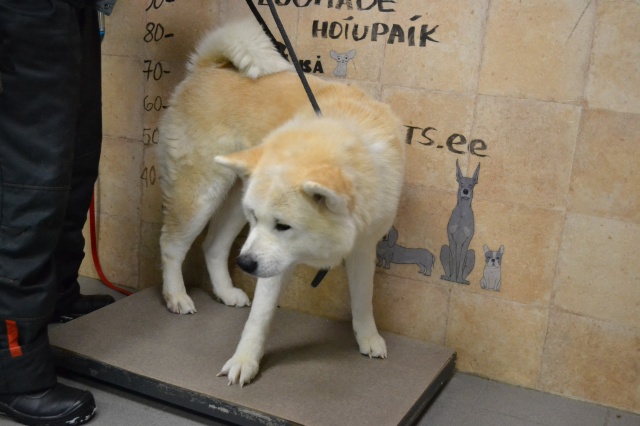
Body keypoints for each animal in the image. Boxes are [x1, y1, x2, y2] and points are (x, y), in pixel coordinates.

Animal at [157, 19, 405, 387]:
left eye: (283, 226)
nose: (246, 265)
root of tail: (206, 68)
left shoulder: (363, 245)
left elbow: (363, 298)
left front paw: (368, 337)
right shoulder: (273, 261)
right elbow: (259, 321)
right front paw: (244, 361)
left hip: (235, 202)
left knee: (213, 248)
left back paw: (225, 292)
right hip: (203, 196)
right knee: (172, 245)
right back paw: (176, 295)